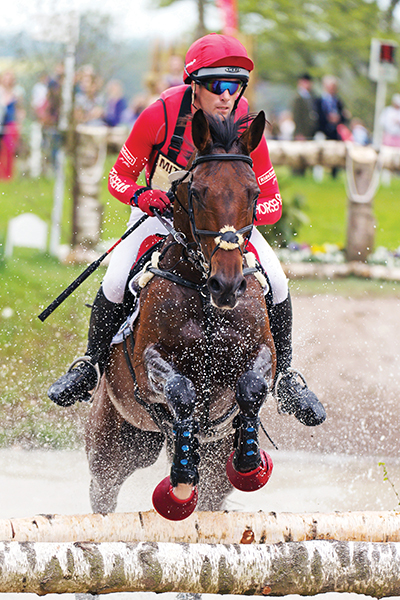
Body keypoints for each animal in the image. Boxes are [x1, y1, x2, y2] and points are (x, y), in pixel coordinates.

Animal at [86, 110, 276, 524]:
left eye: (254, 193)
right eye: (198, 192)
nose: (227, 284)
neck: (205, 298)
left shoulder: (262, 353)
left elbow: (252, 385)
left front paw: (249, 461)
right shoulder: (148, 367)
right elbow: (181, 390)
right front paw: (181, 483)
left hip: (203, 457)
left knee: (212, 494)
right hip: (116, 441)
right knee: (103, 490)